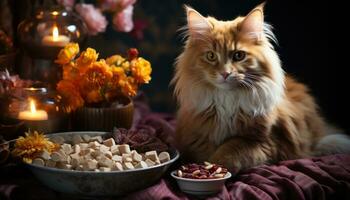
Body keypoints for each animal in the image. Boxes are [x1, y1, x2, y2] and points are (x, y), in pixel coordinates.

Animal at [173, 3, 350, 172]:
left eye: (238, 55)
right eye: (211, 56)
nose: (225, 73)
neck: (227, 99)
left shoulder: (267, 141)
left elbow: (231, 148)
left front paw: (215, 166)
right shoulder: (195, 138)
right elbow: (204, 150)